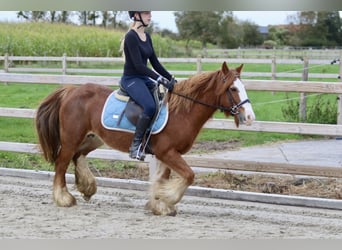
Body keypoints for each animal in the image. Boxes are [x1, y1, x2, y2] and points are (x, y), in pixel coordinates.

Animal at [35, 61, 254, 216]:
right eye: (233, 89)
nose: (250, 117)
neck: (181, 112)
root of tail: (71, 90)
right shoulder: (167, 152)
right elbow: (189, 175)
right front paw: (164, 198)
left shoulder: (167, 155)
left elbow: (164, 178)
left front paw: (160, 204)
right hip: (71, 139)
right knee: (61, 164)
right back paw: (64, 199)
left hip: (92, 138)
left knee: (77, 156)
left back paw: (87, 188)